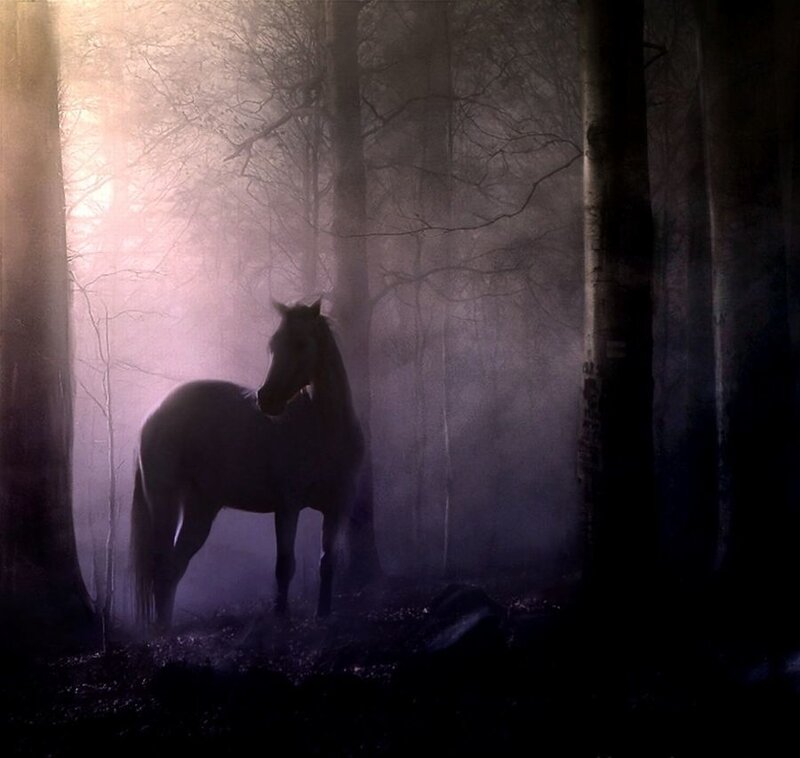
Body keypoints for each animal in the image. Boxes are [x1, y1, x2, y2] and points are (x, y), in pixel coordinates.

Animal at [130, 299, 364, 628]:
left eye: (301, 343)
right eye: (273, 345)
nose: (266, 399)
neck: (326, 430)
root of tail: (154, 414)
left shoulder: (338, 507)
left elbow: (327, 562)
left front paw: (323, 615)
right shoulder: (287, 506)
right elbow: (284, 565)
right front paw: (280, 618)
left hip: (200, 510)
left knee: (174, 568)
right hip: (165, 503)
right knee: (163, 569)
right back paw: (161, 632)